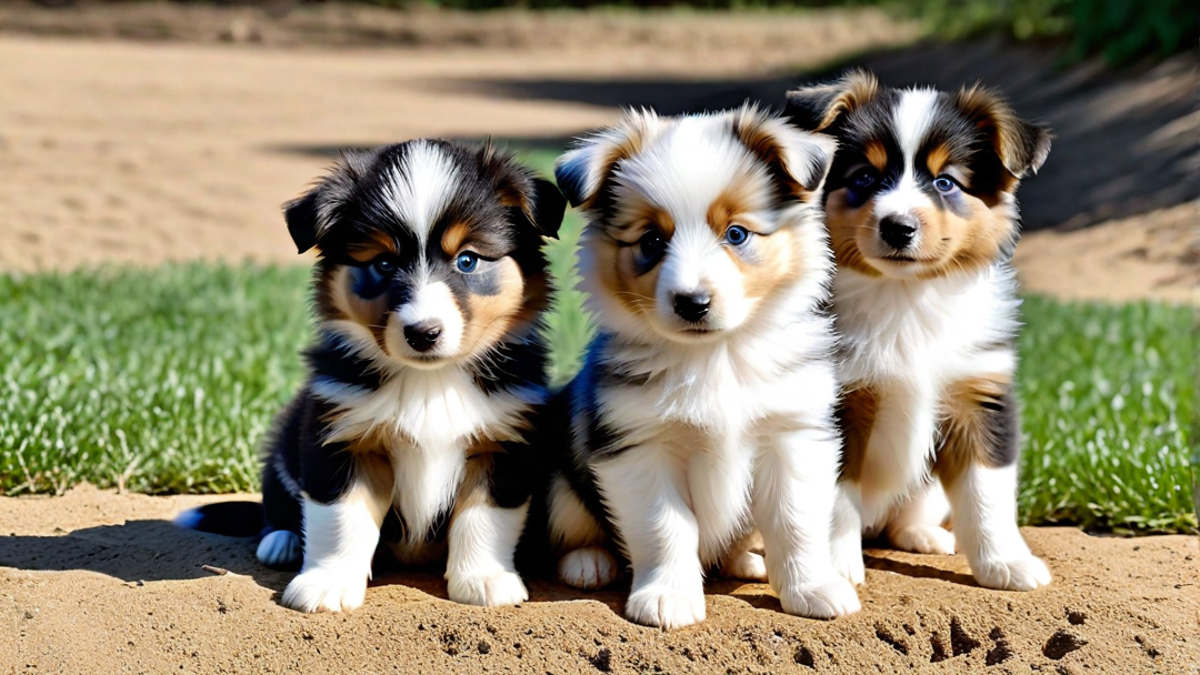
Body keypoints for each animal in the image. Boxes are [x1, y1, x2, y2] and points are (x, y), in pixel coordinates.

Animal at [182, 140, 566, 610]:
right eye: (383, 263)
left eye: (468, 261)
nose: (423, 333)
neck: (430, 382)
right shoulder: (340, 437)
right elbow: (340, 519)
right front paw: (327, 584)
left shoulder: (506, 442)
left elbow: (484, 516)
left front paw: (485, 579)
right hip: (283, 441)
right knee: (276, 504)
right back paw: (282, 540)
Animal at [544, 103, 864, 624]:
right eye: (652, 240)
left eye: (736, 234)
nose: (692, 303)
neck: (718, 356)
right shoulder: (640, 445)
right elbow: (666, 527)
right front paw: (668, 598)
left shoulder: (793, 434)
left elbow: (795, 521)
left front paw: (813, 589)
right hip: (558, 473)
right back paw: (588, 562)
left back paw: (748, 560)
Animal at [792, 69, 1056, 588]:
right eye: (865, 177)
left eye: (945, 182)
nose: (898, 227)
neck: (907, 296)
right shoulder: (838, 404)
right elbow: (835, 495)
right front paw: (834, 568)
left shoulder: (980, 395)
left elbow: (986, 492)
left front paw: (1006, 563)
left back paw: (923, 535)